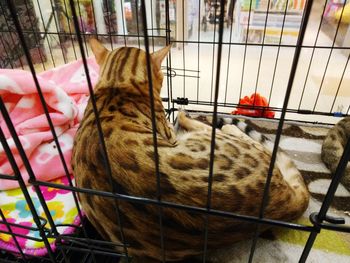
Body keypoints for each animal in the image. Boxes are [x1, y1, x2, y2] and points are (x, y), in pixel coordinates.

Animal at [72, 38, 308, 262]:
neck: (116, 86)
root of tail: (282, 202)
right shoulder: (169, 133)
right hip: (208, 139)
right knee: (230, 132)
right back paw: (198, 117)